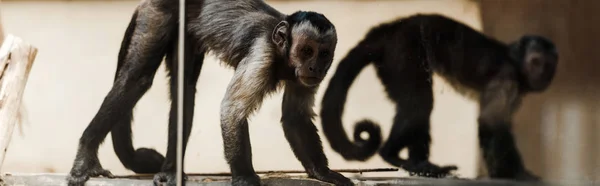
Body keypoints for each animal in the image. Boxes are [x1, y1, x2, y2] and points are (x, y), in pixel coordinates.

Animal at [65, 0, 350, 186]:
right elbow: (231, 110)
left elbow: (294, 117)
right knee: (136, 79)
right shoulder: (262, 55)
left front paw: (322, 172)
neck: (282, 58)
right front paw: (244, 177)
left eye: (324, 54)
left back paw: (171, 171)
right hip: (159, 12)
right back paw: (86, 156)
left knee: (185, 90)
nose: (315, 67)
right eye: (306, 51)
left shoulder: (302, 77)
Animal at [318, 13, 556, 181]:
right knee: (420, 102)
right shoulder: (507, 77)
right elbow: (491, 122)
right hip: (403, 50)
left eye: (548, 65)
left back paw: (422, 164)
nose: (541, 74)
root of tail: (389, 29)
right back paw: (392, 154)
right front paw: (514, 174)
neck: (516, 63)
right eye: (536, 62)